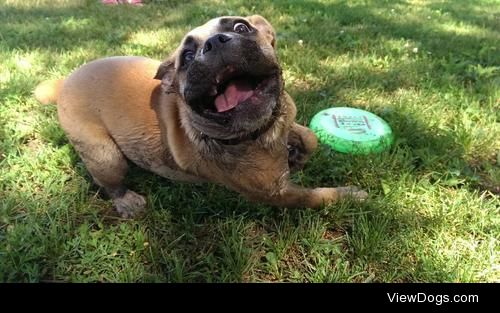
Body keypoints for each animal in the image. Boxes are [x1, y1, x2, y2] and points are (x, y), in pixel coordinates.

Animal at [33, 15, 366, 217]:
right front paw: (351, 195)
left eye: (241, 27)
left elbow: (310, 136)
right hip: (105, 155)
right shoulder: (278, 194)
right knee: (109, 182)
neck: (260, 132)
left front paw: (298, 152)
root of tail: (64, 82)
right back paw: (126, 200)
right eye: (188, 57)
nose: (214, 42)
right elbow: (317, 196)